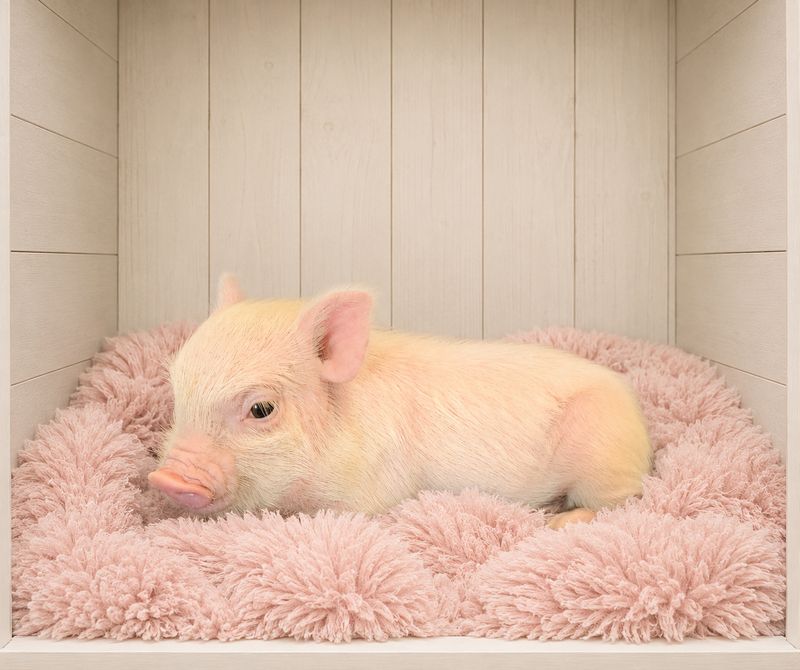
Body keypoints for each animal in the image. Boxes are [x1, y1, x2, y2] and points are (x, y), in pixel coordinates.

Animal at [148, 275, 652, 529]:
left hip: (603, 456)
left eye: (261, 409)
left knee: (623, 502)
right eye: (177, 392)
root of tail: (638, 420)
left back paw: (559, 523)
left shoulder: (371, 491)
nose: (169, 478)